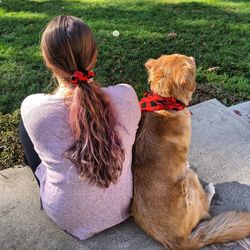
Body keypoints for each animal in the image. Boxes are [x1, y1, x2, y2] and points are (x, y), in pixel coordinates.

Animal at [132, 54, 249, 250]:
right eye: (192, 65)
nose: (192, 57)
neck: (165, 102)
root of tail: (176, 240)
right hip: (189, 179)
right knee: (205, 210)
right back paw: (209, 190)